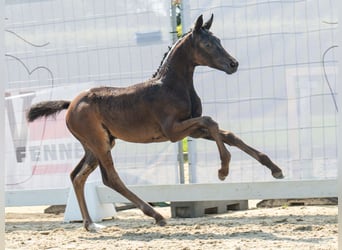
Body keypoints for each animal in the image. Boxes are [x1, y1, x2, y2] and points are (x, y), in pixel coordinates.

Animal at [28, 14, 284, 231]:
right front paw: (223, 170)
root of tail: (71, 103)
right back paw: (156, 215)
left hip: (97, 145)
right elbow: (211, 121)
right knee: (110, 178)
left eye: (218, 40)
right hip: (99, 143)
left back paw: (90, 224)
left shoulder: (192, 129)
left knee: (77, 176)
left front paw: (275, 169)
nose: (233, 64)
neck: (171, 86)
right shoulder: (173, 131)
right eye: (207, 44)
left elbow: (228, 134)